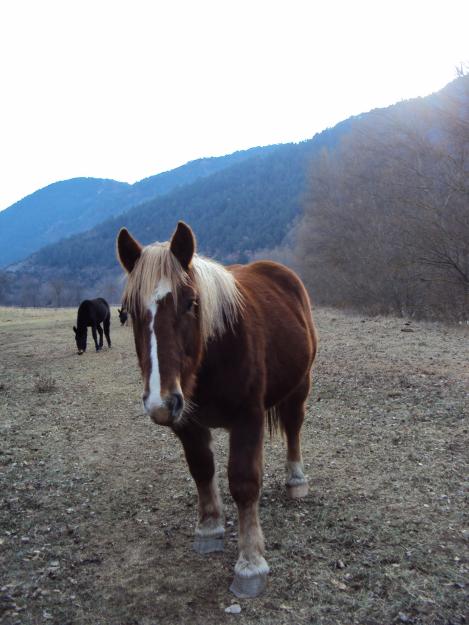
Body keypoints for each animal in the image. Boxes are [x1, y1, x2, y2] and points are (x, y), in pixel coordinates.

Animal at [116, 222, 318, 596]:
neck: (212, 357)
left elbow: (243, 482)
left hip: (300, 385)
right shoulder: (188, 423)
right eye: (128, 312)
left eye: (191, 303)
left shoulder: (248, 418)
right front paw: (209, 528)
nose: (160, 402)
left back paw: (296, 480)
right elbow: (201, 470)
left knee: (294, 426)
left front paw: (251, 564)